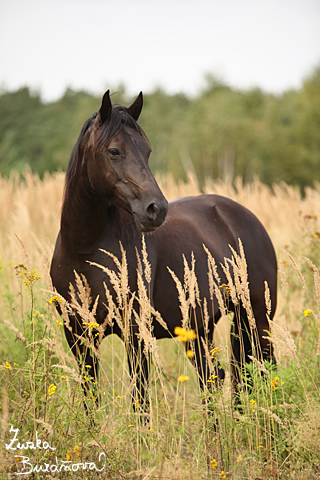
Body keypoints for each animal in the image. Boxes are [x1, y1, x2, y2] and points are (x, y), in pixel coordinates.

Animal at [50, 91, 278, 412]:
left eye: (147, 152)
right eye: (114, 151)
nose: (156, 209)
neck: (85, 251)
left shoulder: (137, 336)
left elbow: (140, 402)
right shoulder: (79, 337)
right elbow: (91, 399)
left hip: (257, 318)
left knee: (263, 371)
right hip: (202, 331)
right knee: (215, 380)